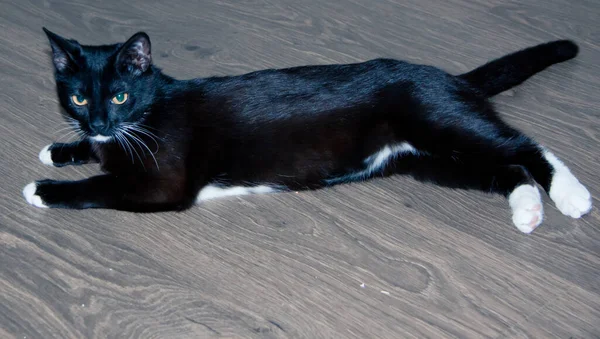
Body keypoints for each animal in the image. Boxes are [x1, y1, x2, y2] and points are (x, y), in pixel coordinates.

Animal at [23, 28, 592, 234]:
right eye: (78, 98)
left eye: (120, 95)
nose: (98, 121)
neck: (144, 114)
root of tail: (448, 78)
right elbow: (98, 158)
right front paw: (63, 148)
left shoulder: (163, 183)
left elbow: (103, 185)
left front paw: (43, 188)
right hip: (430, 161)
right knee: (505, 169)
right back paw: (527, 208)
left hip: (443, 126)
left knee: (524, 147)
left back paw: (570, 195)